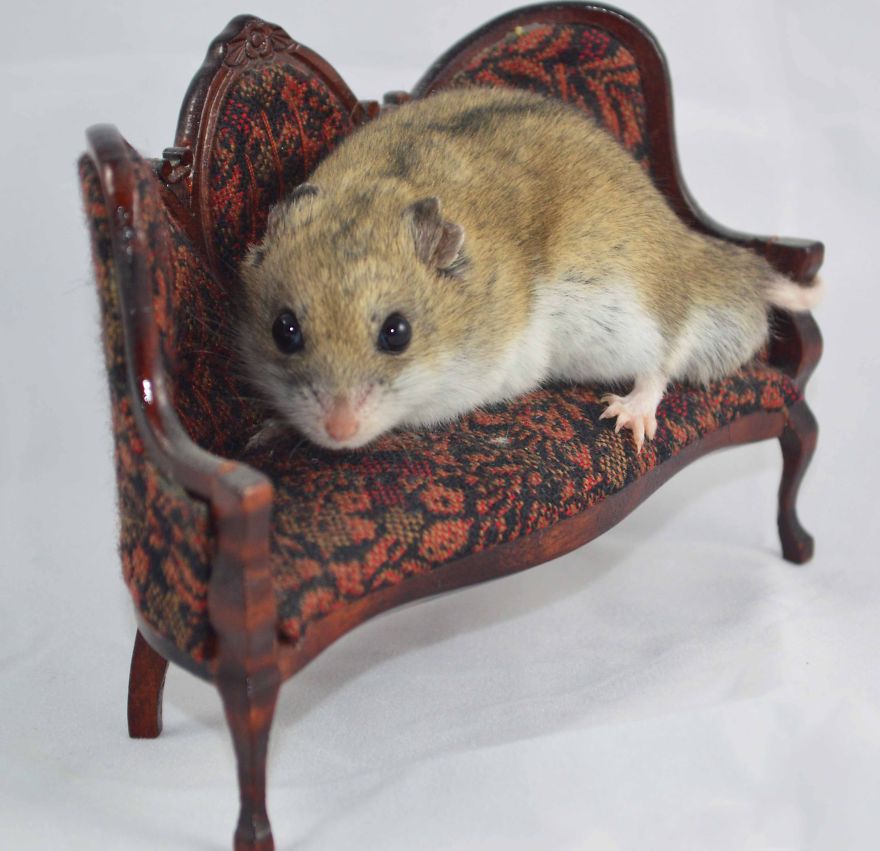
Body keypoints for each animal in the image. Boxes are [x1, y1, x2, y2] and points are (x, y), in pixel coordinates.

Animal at [238, 87, 821, 452]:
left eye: (396, 333)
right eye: (284, 331)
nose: (338, 430)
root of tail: (695, 253)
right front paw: (270, 431)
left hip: (628, 311)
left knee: (664, 359)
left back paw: (627, 415)